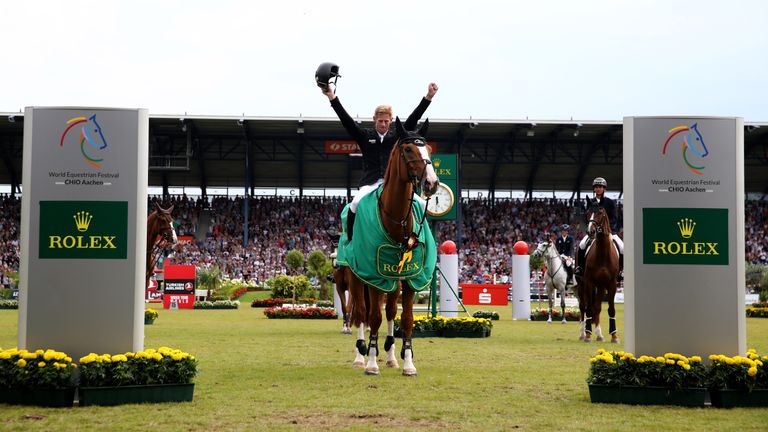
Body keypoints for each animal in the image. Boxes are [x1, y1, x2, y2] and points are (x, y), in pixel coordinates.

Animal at [344, 118, 436, 374]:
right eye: (408, 149)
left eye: (429, 149)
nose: (432, 183)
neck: (396, 219)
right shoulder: (375, 275)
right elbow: (373, 316)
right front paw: (371, 363)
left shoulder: (410, 278)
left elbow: (405, 319)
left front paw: (408, 363)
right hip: (356, 276)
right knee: (361, 312)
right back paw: (361, 354)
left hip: (393, 282)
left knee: (390, 311)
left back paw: (391, 355)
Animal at [580, 208, 620, 342]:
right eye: (588, 213)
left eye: (600, 213)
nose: (590, 232)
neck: (602, 253)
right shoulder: (589, 282)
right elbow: (588, 309)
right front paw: (588, 334)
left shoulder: (612, 284)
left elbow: (611, 309)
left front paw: (614, 336)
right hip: (581, 284)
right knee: (583, 307)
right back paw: (582, 334)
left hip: (601, 286)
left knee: (597, 307)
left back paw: (599, 335)